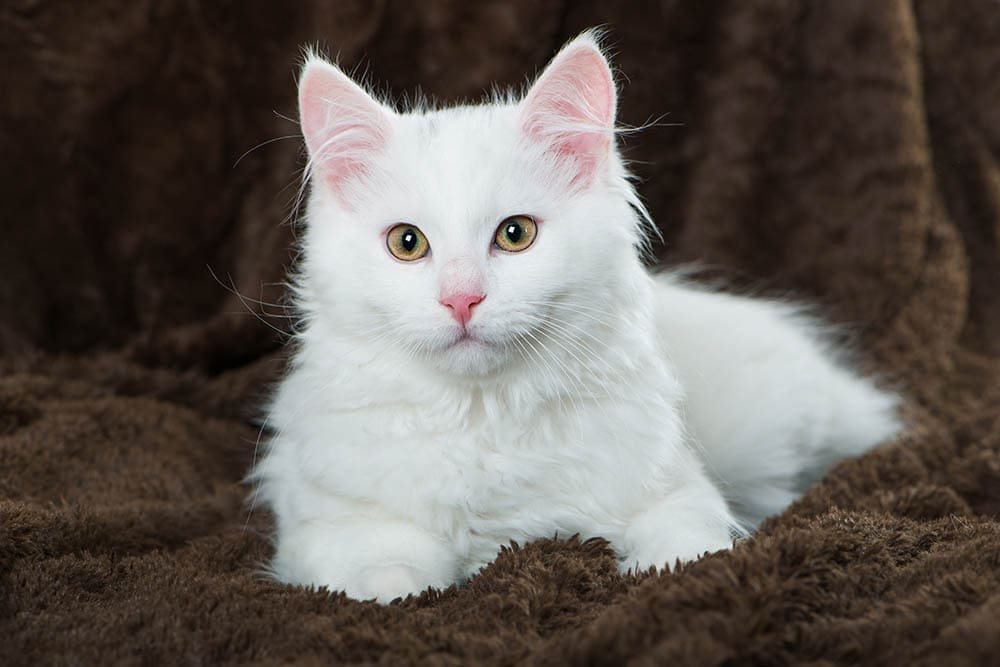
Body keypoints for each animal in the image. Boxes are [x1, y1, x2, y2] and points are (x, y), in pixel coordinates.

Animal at [250, 31, 900, 604]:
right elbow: (384, 575)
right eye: (407, 243)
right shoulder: (327, 526)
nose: (462, 300)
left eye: (515, 235)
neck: (484, 415)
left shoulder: (675, 490)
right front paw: (403, 592)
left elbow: (688, 549)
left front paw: (674, 575)